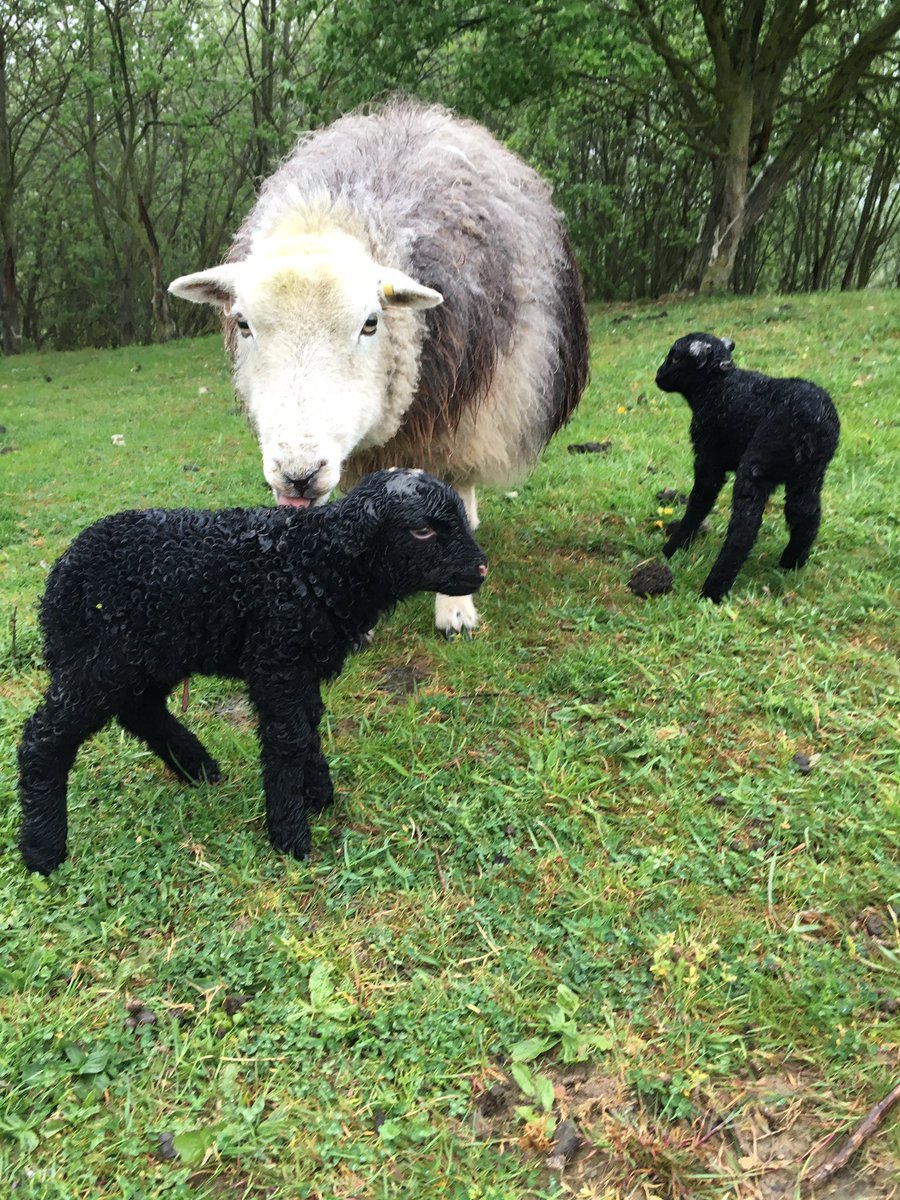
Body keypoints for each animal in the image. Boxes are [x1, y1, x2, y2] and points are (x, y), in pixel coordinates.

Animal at [18, 470, 487, 875]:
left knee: (142, 711)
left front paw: (317, 793)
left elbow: (308, 726)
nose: (481, 568)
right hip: (99, 659)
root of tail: (60, 576)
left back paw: (197, 767)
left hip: (150, 654)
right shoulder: (275, 659)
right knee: (45, 738)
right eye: (422, 530)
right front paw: (290, 833)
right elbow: (287, 740)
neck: (315, 563)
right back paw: (43, 850)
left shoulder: (299, 665)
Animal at [168, 98, 589, 638]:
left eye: (371, 323)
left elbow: (449, 485)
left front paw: (455, 608)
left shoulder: (458, 408)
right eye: (242, 323)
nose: (297, 475)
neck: (326, 219)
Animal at [655, 333, 840, 602]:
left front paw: (674, 548)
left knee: (746, 525)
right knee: (807, 513)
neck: (716, 387)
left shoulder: (708, 458)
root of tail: (814, 425)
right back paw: (791, 562)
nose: (658, 375)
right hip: (810, 474)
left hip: (758, 464)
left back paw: (713, 588)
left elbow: (699, 502)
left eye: (676, 357)